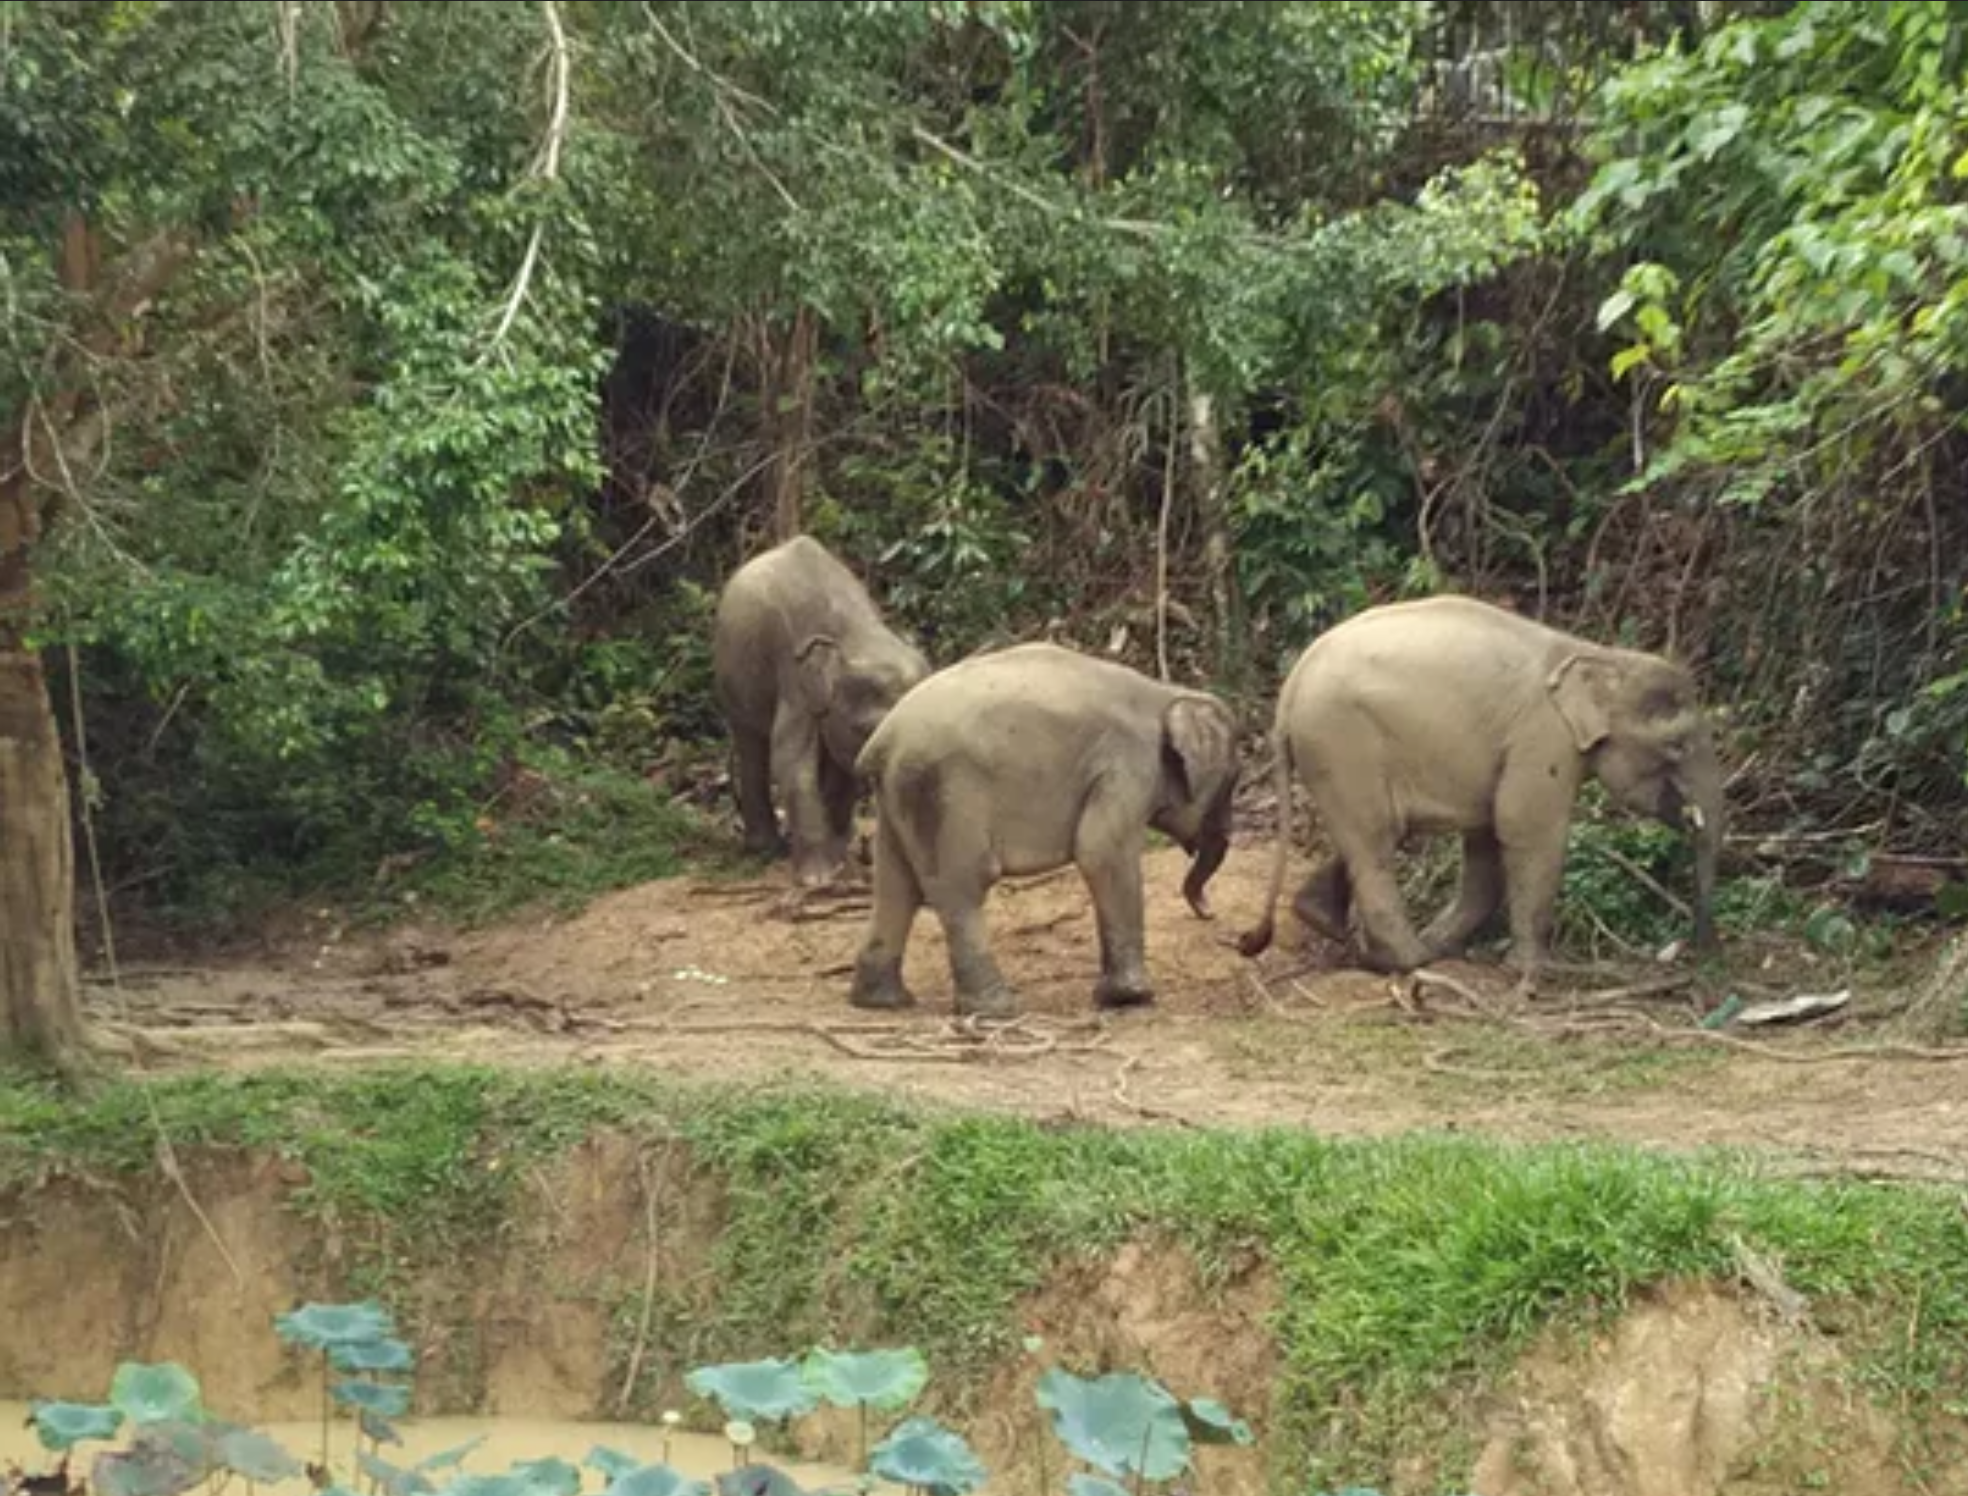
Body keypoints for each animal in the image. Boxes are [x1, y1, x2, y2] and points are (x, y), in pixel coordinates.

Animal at [712, 534, 931, 887]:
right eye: (866, 729)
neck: (856, 634)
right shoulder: (794, 678)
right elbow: (791, 762)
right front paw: (819, 878)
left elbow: (843, 768)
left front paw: (841, 861)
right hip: (731, 679)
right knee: (752, 747)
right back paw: (766, 849)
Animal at [847, 642, 1241, 1019]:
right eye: (1232, 783)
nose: (1210, 914)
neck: (1165, 693)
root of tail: (880, 742)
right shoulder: (1127, 766)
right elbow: (1101, 852)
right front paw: (1131, 998)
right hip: (945, 794)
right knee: (961, 886)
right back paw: (997, 1010)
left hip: (899, 795)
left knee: (896, 886)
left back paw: (882, 1002)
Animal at [1238, 594, 1724, 992]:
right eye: (1677, 746)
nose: (1701, 952)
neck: (1599, 656)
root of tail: (1289, 690)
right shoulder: (1542, 738)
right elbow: (1526, 829)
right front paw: (1530, 972)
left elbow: (1488, 834)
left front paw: (1453, 945)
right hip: (1340, 740)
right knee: (1375, 842)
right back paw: (1411, 960)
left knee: (1371, 834)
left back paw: (1327, 922)